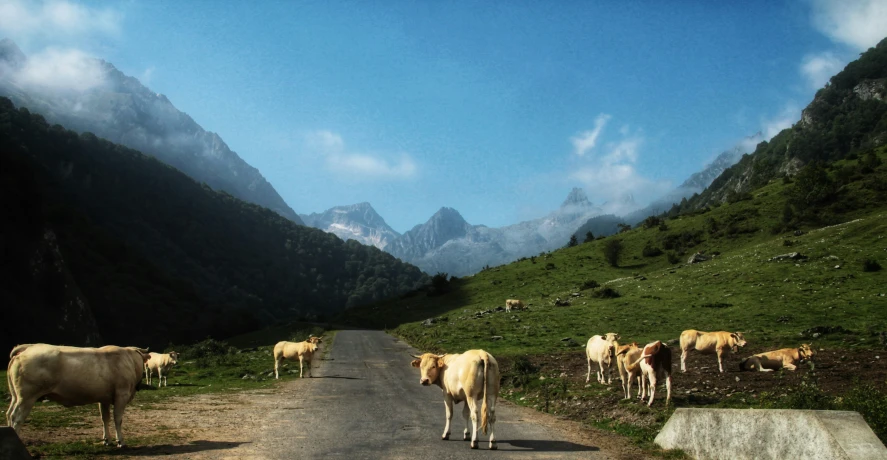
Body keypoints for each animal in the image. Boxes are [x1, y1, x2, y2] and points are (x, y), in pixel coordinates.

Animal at [5, 344, 150, 448]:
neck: (130, 360)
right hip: (27, 397)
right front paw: (120, 441)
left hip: (16, 396)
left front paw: (106, 440)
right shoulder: (121, 394)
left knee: (9, 414)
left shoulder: (104, 398)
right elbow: (117, 419)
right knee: (16, 417)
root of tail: (27, 348)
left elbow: (105, 418)